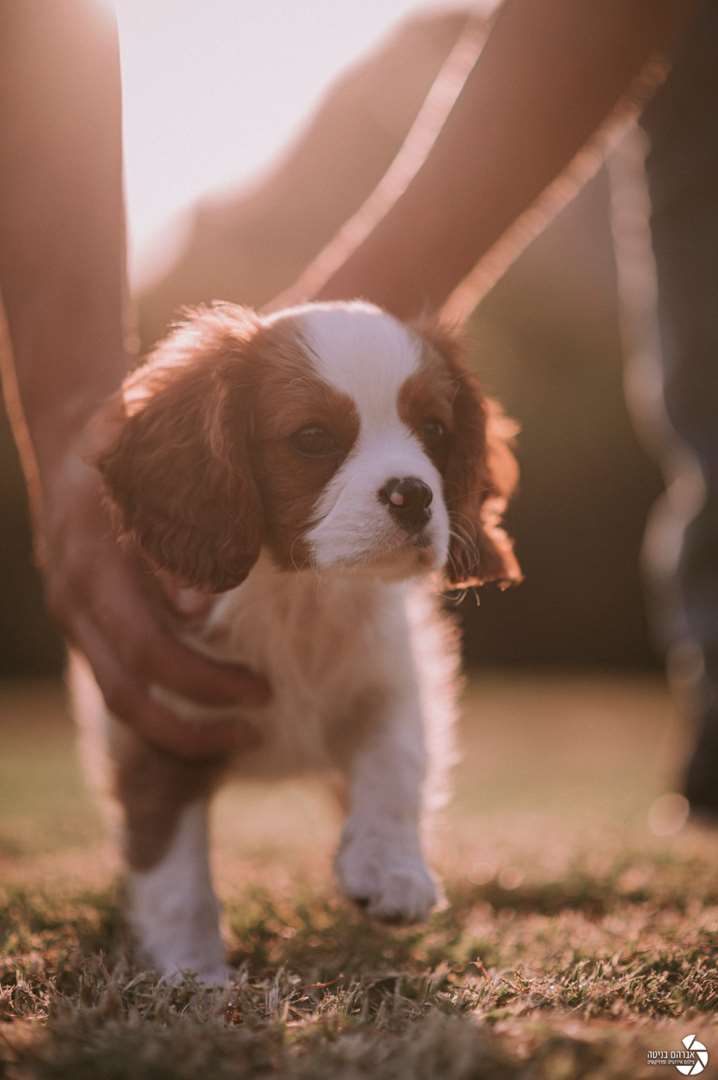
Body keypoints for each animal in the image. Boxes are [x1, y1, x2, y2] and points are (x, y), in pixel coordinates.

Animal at [72, 300, 518, 984]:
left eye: (434, 430)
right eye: (312, 438)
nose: (414, 493)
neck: (299, 593)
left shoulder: (391, 673)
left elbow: (397, 758)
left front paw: (390, 869)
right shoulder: (158, 716)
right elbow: (174, 870)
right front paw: (193, 975)